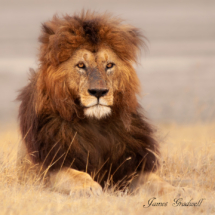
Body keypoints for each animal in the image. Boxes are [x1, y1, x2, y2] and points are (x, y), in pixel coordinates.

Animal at [16, 11, 185, 197]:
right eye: (81, 65)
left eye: (109, 65)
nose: (98, 92)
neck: (95, 124)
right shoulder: (46, 168)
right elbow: (73, 174)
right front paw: (88, 187)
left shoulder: (129, 167)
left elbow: (154, 180)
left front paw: (177, 191)